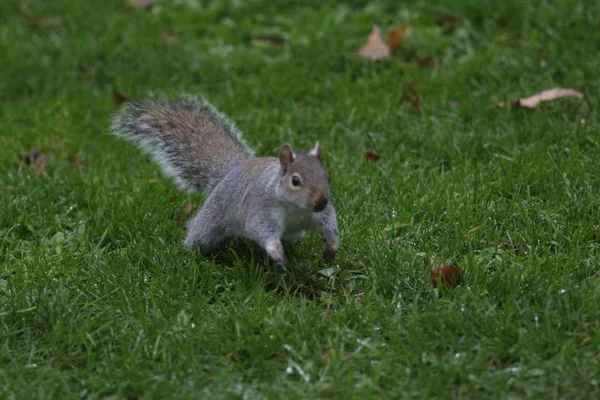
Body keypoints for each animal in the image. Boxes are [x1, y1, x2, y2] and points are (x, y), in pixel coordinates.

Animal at [110, 94, 340, 268]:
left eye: (327, 176)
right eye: (295, 181)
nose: (321, 202)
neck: (297, 209)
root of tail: (230, 171)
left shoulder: (321, 214)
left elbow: (330, 225)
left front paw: (332, 247)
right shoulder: (262, 209)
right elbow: (263, 231)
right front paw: (276, 253)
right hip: (211, 222)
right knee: (198, 236)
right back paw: (189, 255)